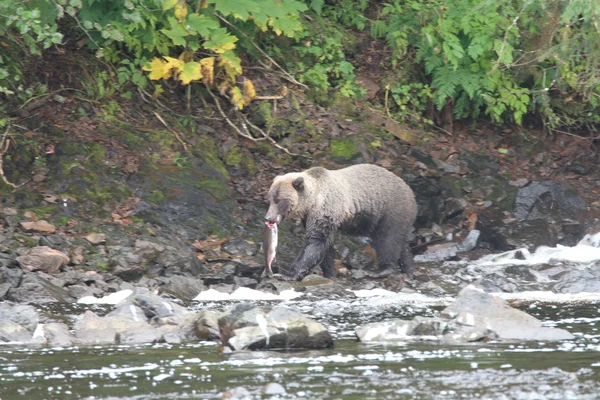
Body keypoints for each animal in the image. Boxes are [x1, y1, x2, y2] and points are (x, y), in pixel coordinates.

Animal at [264, 164, 414, 280]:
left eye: (279, 201)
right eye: (269, 199)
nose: (268, 218)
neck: (311, 202)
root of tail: (410, 191)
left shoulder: (326, 210)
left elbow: (316, 242)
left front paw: (286, 274)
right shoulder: (312, 218)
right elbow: (325, 247)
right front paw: (330, 273)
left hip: (391, 211)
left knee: (387, 240)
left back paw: (380, 270)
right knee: (401, 244)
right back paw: (408, 269)